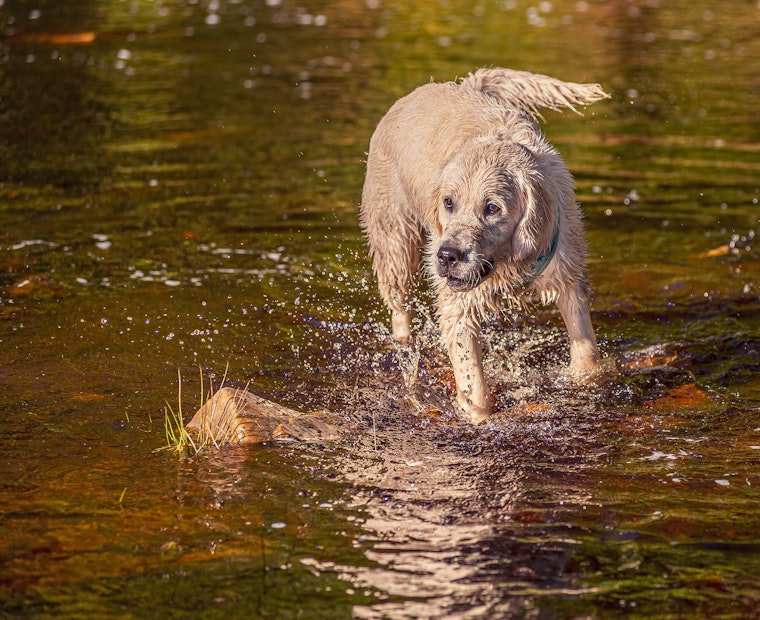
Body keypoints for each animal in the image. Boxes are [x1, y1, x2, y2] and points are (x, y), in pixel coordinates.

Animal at [360, 69, 608, 426]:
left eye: (492, 208)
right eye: (448, 202)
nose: (447, 256)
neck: (510, 261)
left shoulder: (567, 274)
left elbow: (586, 350)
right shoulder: (457, 305)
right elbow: (473, 383)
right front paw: (478, 418)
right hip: (394, 240)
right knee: (399, 308)